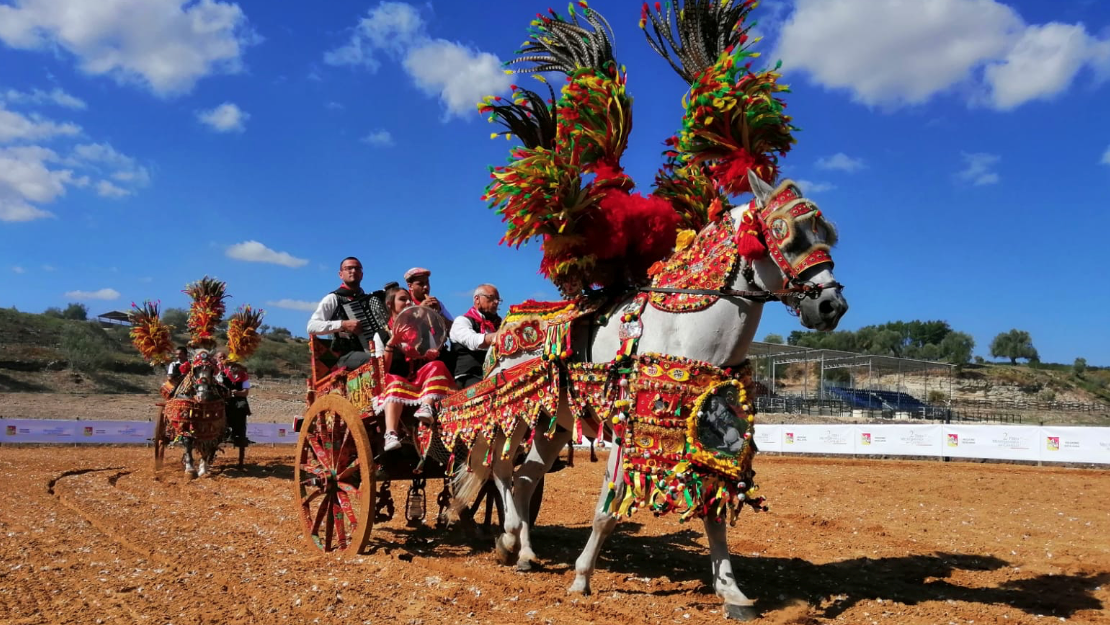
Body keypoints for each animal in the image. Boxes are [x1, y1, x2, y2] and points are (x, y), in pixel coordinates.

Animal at [449, 173, 848, 620]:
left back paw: (522, 553)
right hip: (510, 418)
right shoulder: (629, 430)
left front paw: (731, 591)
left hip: (554, 425)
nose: (831, 305)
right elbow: (608, 508)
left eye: (825, 235)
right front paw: (581, 578)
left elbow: (712, 512)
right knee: (500, 470)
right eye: (785, 233)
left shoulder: (705, 435)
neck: (683, 326)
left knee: (523, 479)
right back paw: (507, 538)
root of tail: (502, 331)